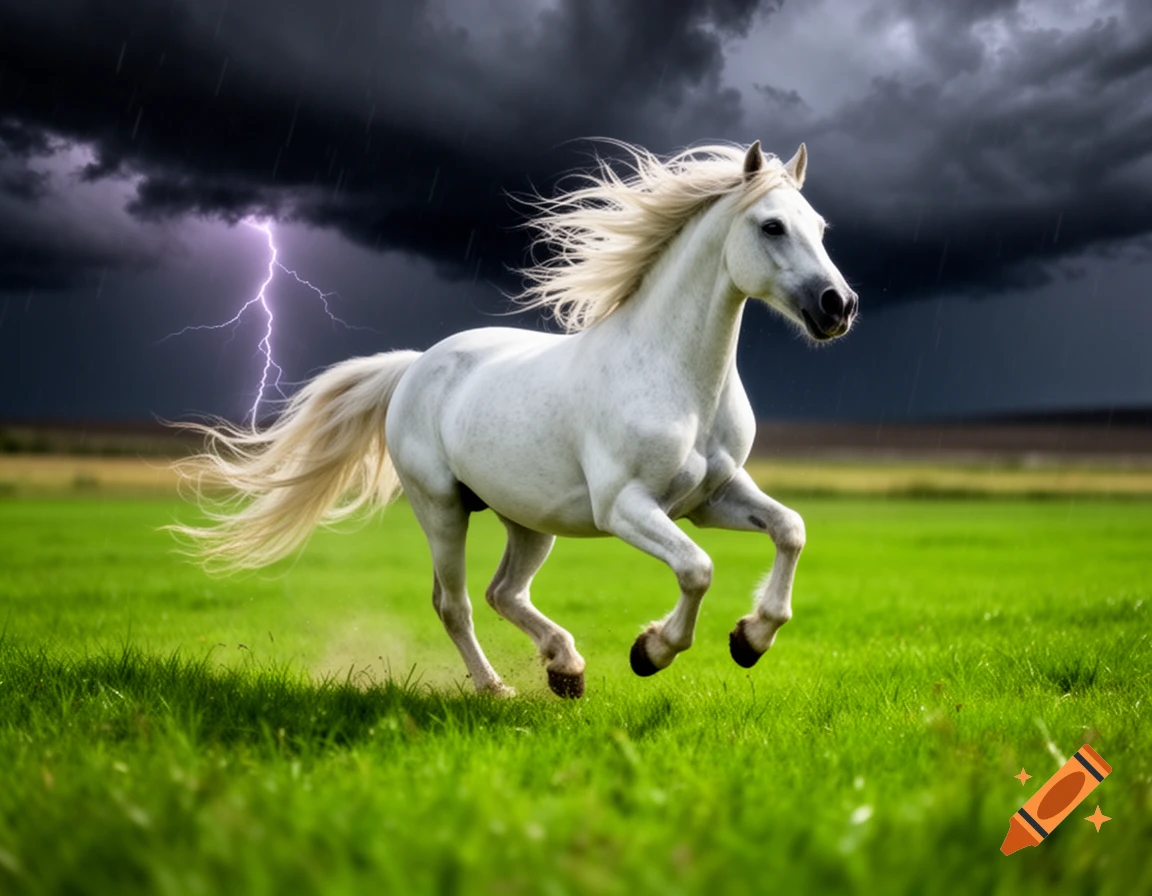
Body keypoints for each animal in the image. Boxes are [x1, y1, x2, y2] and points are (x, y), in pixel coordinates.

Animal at [172, 139, 857, 699]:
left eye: (821, 227)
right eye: (772, 226)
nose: (839, 305)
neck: (683, 383)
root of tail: (415, 365)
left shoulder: (709, 498)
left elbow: (790, 529)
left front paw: (752, 638)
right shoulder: (628, 507)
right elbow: (697, 568)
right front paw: (652, 652)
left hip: (528, 520)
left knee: (504, 592)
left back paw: (566, 670)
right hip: (441, 508)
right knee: (454, 603)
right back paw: (497, 688)